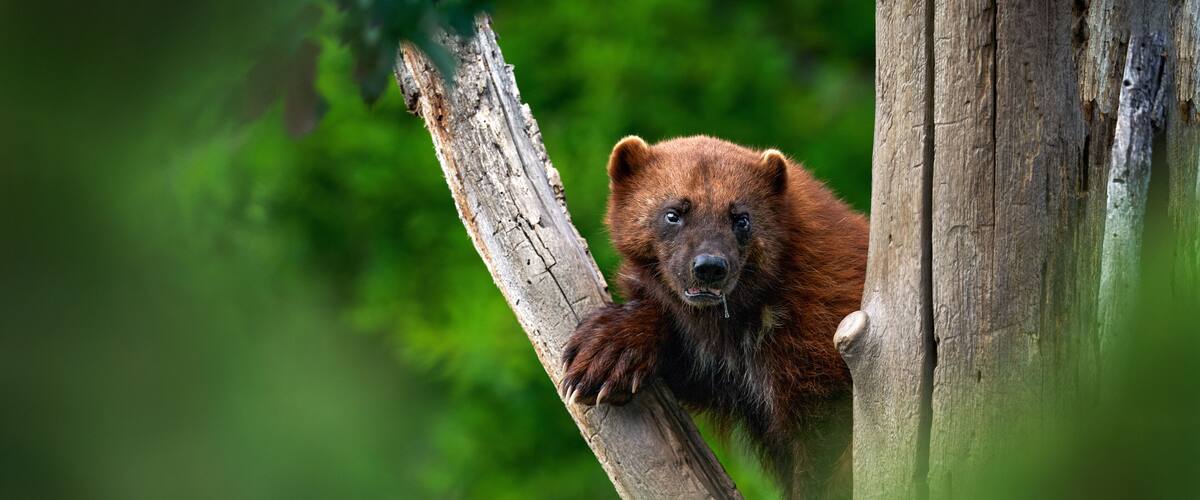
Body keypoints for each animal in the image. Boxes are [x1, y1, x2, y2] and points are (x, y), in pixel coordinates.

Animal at [559, 135, 868, 498]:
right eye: (673, 213)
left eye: (742, 218)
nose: (709, 266)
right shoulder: (723, 370)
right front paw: (608, 352)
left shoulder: (820, 364)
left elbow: (825, 462)